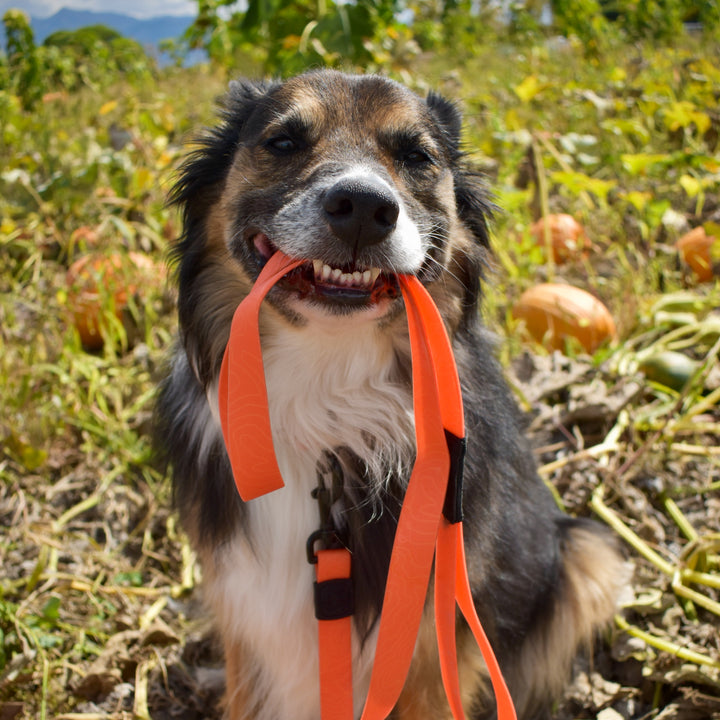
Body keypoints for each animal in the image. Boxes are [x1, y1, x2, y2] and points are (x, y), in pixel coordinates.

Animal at [156, 71, 624, 720]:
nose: (362, 209)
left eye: (417, 157)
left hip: (586, 553)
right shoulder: (246, 613)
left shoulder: (429, 642)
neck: (326, 388)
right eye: (283, 142)